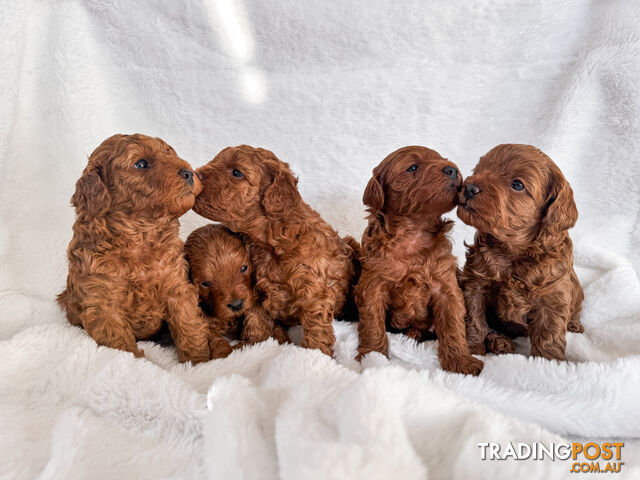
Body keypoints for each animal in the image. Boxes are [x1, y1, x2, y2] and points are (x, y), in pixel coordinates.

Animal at [57, 133, 232, 362]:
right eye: (141, 164)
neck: (139, 236)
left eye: (170, 154)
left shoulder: (176, 287)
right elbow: (121, 348)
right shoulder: (103, 304)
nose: (189, 173)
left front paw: (198, 362)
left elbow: (190, 327)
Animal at [194, 144, 360, 354]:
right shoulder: (256, 289)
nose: (194, 174)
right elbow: (257, 320)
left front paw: (315, 354)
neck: (269, 241)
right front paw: (253, 344)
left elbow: (316, 327)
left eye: (237, 173)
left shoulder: (313, 289)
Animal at [352, 146, 482, 376]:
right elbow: (372, 324)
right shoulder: (373, 284)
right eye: (412, 167)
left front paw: (461, 362)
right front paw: (372, 357)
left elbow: (453, 326)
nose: (452, 169)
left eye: (441, 159)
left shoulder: (446, 287)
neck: (413, 232)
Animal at [456, 143, 584, 360]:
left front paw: (547, 361)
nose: (469, 187)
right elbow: (474, 319)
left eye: (517, 185)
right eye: (479, 169)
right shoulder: (476, 282)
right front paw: (474, 349)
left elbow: (549, 333)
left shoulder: (553, 295)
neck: (513, 250)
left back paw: (574, 324)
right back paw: (499, 341)